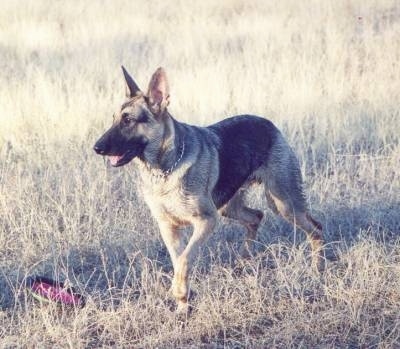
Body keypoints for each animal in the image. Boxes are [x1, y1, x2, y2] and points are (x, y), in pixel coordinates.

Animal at [93, 66, 322, 312]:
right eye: (114, 119)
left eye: (128, 120)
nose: (96, 148)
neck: (164, 169)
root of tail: (268, 123)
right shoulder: (168, 227)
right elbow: (178, 261)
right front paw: (183, 303)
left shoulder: (206, 221)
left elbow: (184, 259)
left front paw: (179, 293)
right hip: (229, 208)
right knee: (256, 217)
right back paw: (244, 262)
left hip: (283, 204)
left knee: (315, 229)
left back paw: (317, 268)